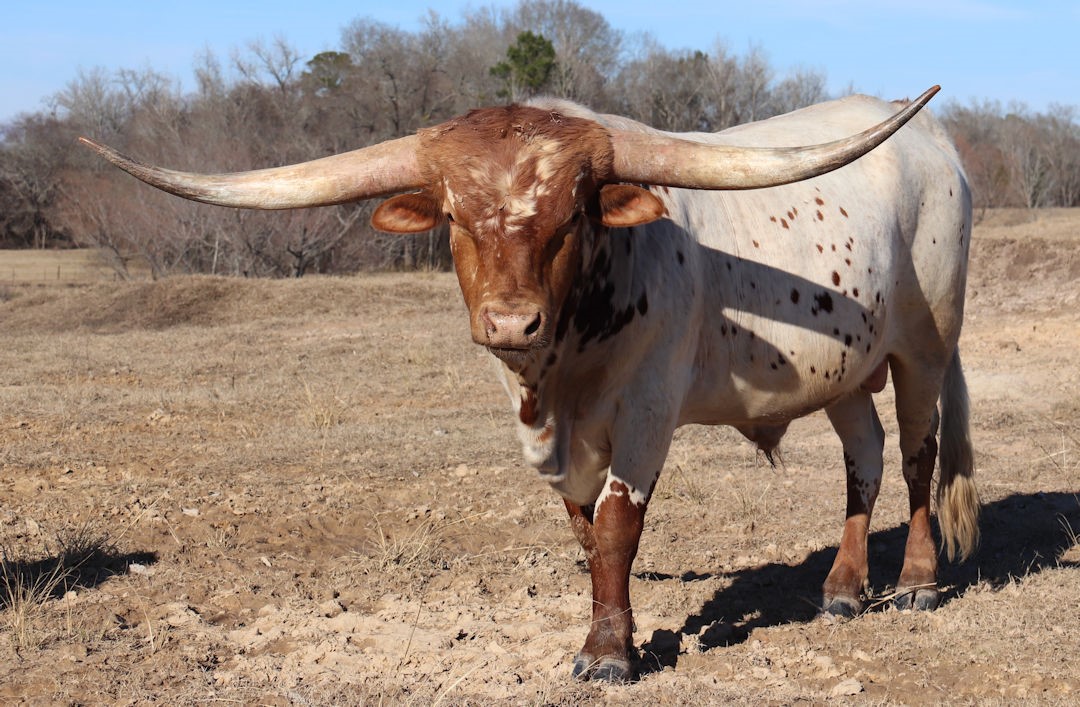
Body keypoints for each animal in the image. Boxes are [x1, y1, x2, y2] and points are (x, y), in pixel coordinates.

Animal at [80, 85, 979, 683]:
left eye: (572, 214)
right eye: (453, 215)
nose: (512, 324)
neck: (560, 376)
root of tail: (933, 143)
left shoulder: (647, 410)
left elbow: (617, 526)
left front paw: (607, 654)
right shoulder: (553, 438)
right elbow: (583, 530)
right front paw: (615, 629)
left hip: (925, 344)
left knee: (918, 454)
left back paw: (917, 583)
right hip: (845, 366)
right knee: (864, 456)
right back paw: (843, 589)